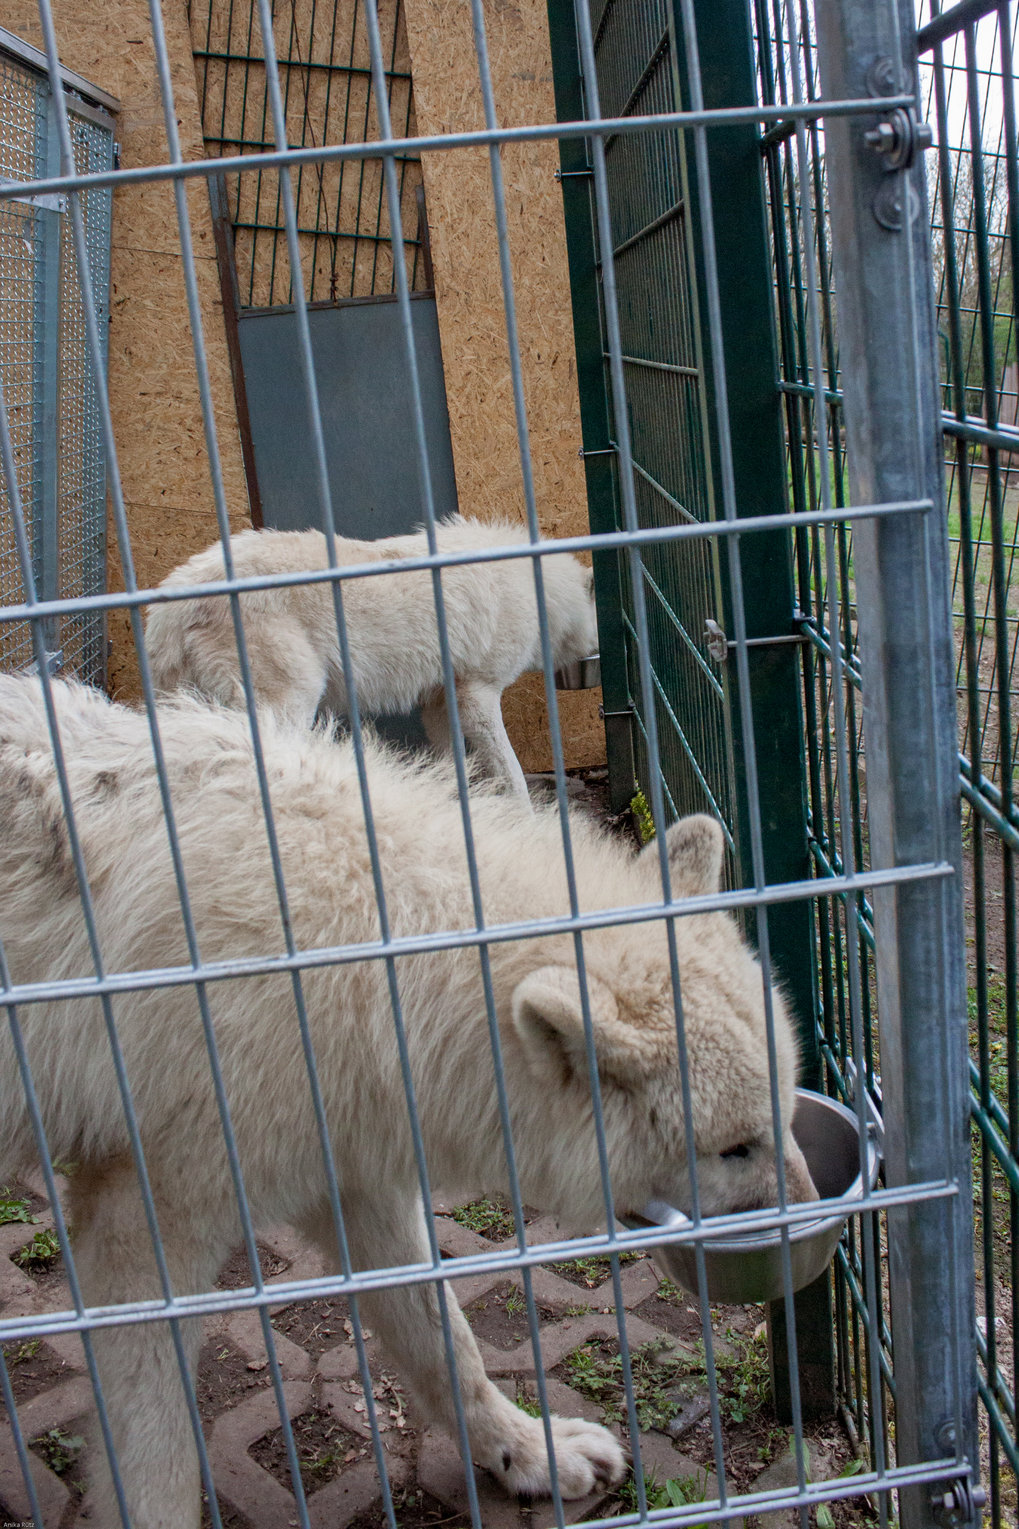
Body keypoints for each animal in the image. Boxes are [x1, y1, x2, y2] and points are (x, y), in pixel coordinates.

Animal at [0, 681, 813, 1529]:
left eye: (784, 1117)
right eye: (735, 1147)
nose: (820, 1213)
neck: (360, 952)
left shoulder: (353, 1179)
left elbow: (446, 1340)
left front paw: (524, 1450)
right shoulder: (140, 1239)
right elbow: (155, 1461)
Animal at [146, 516, 599, 801]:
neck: (542, 592)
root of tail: (170, 608)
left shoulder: (439, 702)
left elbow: (452, 765)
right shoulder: (478, 695)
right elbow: (513, 774)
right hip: (292, 704)